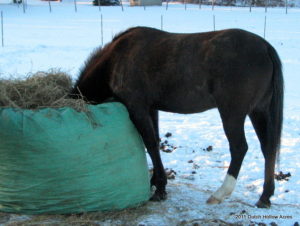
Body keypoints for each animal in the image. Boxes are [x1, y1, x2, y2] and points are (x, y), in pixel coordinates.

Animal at [70, 25, 284, 207]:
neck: (116, 59)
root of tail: (264, 47)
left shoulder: (137, 108)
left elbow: (150, 143)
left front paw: (160, 189)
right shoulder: (151, 108)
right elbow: (156, 141)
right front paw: (155, 181)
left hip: (232, 113)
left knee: (240, 148)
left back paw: (220, 193)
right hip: (259, 111)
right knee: (268, 148)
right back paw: (265, 197)